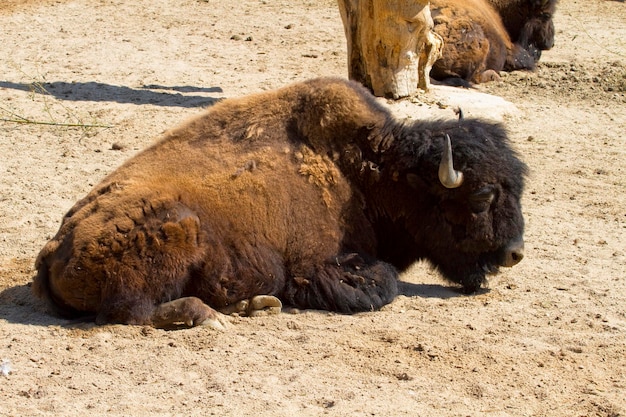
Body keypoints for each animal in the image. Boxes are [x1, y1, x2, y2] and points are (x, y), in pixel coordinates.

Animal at [31, 76, 524, 326]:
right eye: (481, 196)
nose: (515, 253)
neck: (365, 170)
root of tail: (54, 250)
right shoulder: (315, 265)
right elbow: (382, 284)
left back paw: (251, 304)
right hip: (178, 227)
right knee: (133, 312)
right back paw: (211, 314)